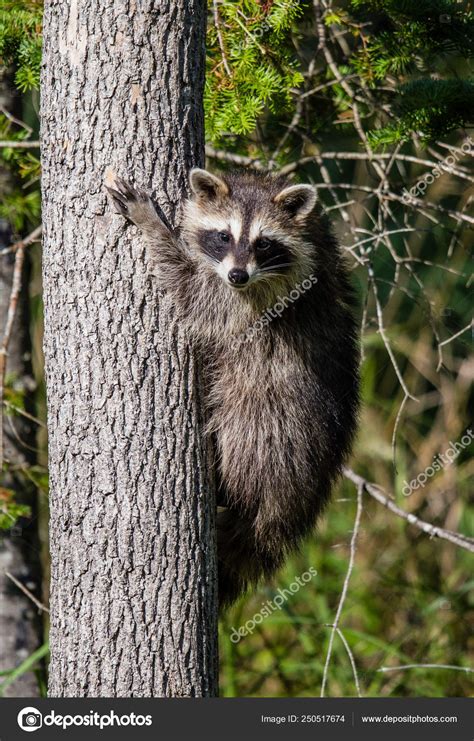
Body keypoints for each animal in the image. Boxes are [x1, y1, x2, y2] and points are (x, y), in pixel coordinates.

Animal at [107, 168, 360, 608]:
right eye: (223, 236)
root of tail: (296, 496)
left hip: (269, 425)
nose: (237, 275)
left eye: (263, 243)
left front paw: (153, 226)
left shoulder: (260, 299)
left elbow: (194, 295)